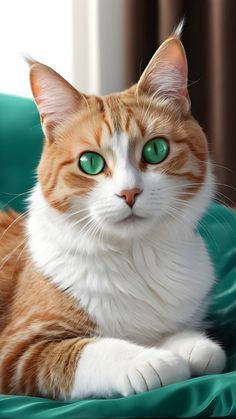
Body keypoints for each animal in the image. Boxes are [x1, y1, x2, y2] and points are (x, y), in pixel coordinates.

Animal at [0, 23, 226, 400]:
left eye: (155, 150)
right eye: (90, 162)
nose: (129, 192)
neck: (137, 258)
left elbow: (179, 333)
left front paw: (191, 345)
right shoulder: (19, 348)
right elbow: (90, 349)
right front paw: (151, 361)